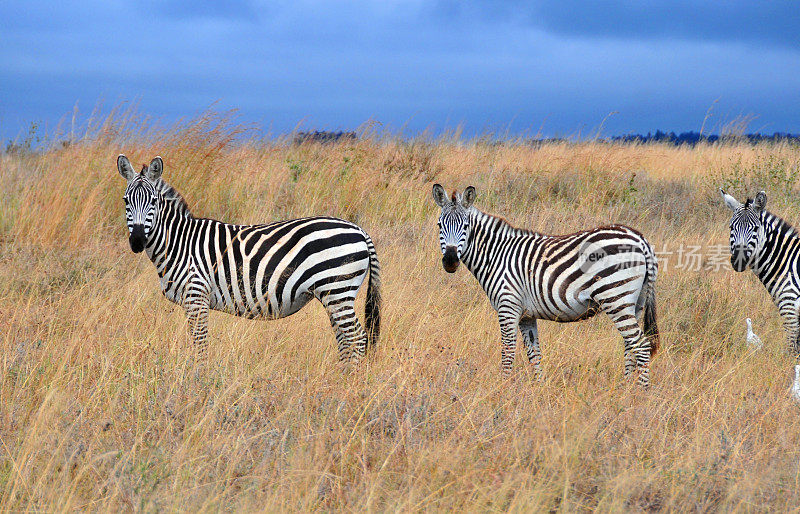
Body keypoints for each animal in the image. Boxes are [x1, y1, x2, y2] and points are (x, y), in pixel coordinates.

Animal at [117, 154, 382, 362]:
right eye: (126, 201)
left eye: (153, 201)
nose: (137, 241)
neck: (179, 243)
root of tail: (359, 229)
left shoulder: (196, 296)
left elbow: (200, 346)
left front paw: (198, 380)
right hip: (335, 294)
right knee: (345, 338)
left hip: (337, 288)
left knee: (357, 337)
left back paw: (349, 381)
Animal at [434, 184, 660, 384]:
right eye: (439, 225)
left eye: (465, 226)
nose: (450, 261)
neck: (497, 255)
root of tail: (640, 239)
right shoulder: (526, 316)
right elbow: (534, 354)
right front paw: (538, 387)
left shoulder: (508, 306)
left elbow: (508, 352)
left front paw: (502, 387)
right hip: (635, 302)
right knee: (630, 345)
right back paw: (625, 388)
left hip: (615, 298)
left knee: (641, 345)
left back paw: (639, 393)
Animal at [720, 188, 796, 356]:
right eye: (731, 227)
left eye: (755, 228)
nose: (739, 260)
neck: (787, 263)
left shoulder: (790, 308)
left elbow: (793, 350)